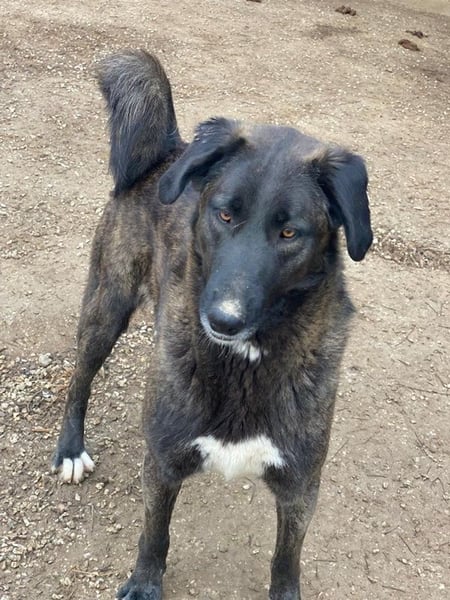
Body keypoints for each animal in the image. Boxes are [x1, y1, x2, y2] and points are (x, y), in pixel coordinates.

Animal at [52, 50, 372, 600]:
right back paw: (71, 448)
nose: (222, 319)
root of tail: (171, 151)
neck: (244, 360)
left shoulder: (300, 485)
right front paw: (144, 583)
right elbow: (154, 535)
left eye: (290, 233)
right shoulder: (162, 462)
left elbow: (286, 560)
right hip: (106, 306)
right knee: (80, 377)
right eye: (224, 215)